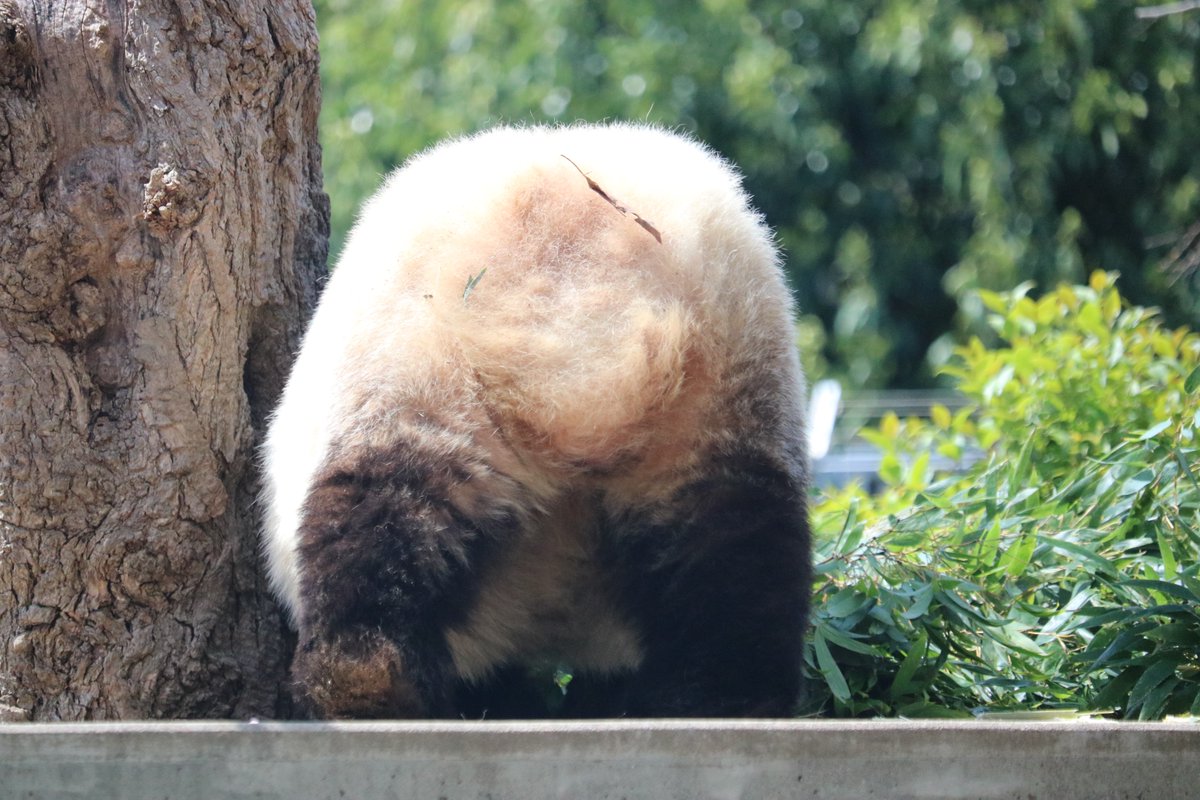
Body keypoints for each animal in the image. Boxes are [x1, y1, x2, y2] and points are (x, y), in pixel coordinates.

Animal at [261, 123, 811, 719]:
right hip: (723, 383)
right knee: (729, 540)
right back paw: (720, 695)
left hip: (418, 364)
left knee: (389, 506)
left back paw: (364, 682)